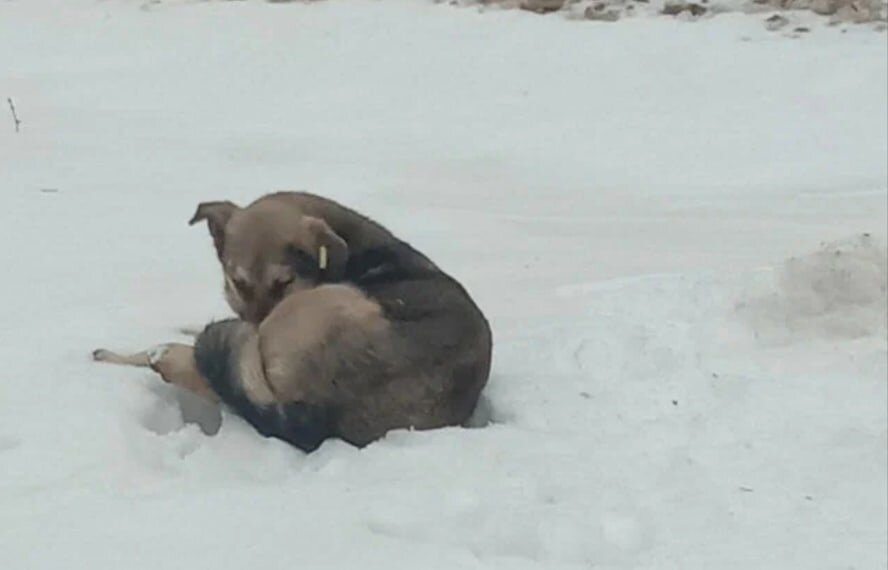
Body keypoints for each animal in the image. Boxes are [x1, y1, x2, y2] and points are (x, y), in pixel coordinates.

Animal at [94, 191, 496, 448]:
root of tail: (328, 406)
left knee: (211, 378)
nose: (255, 327)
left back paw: (157, 355)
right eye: (239, 284)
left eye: (283, 283)